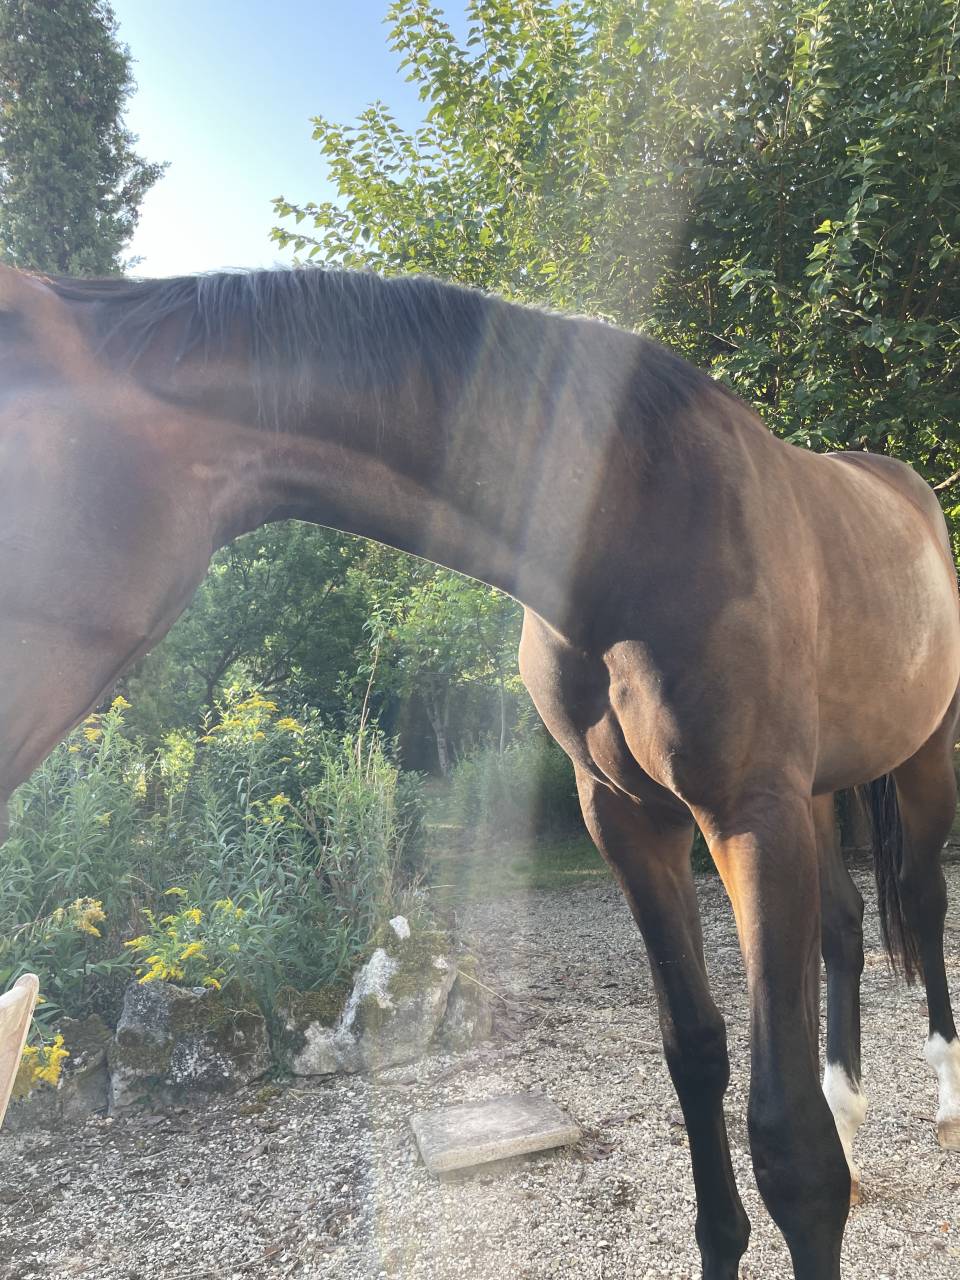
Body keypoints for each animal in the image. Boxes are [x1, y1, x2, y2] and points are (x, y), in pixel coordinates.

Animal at [0, 263, 958, 1279]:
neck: (639, 522)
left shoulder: (745, 812)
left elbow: (788, 1146)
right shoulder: (627, 819)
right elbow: (694, 1052)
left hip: (916, 759)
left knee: (922, 898)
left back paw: (943, 1101)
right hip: (814, 793)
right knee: (845, 926)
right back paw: (854, 1117)